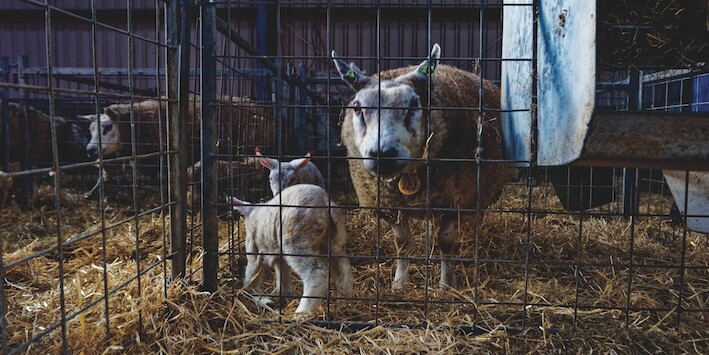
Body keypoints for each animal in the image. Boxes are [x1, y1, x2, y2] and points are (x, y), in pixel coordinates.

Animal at [228, 185, 352, 316]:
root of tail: (325, 201)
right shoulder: (277, 251)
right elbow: (282, 271)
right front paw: (282, 294)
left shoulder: (254, 248)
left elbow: (252, 274)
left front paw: (255, 294)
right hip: (332, 240)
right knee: (343, 268)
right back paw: (344, 302)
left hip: (295, 241)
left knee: (317, 273)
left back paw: (301, 313)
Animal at [332, 43, 516, 290]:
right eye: (358, 108)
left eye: (413, 105)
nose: (383, 154)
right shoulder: (389, 206)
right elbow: (402, 243)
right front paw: (399, 283)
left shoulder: (456, 200)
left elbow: (445, 243)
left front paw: (446, 284)